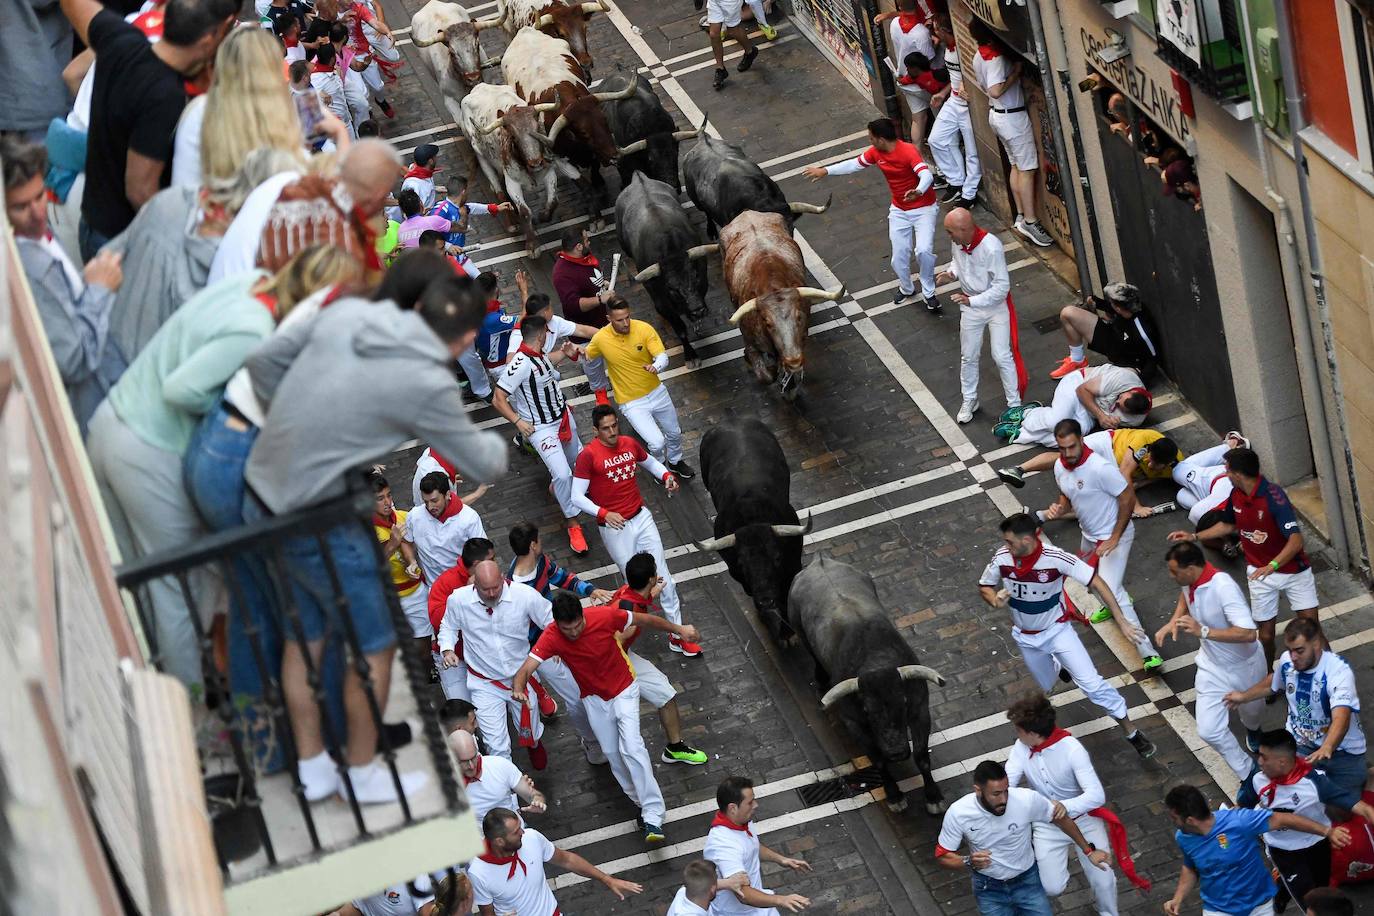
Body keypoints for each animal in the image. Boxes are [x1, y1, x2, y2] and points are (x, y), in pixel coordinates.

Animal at [692, 414, 807, 637]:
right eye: (742, 563)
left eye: (777, 557)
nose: (766, 600)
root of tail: (732, 419)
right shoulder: (739, 575)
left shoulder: (793, 564)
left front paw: (787, 632)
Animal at [719, 216, 846, 403]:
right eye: (767, 323)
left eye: (799, 317)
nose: (794, 361)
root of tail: (746, 213)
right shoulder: (751, 342)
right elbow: (765, 375)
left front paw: (789, 386)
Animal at [791, 554, 939, 813]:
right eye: (868, 711)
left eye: (903, 704)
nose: (896, 752)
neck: (875, 661)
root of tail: (819, 560)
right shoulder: (855, 724)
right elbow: (878, 762)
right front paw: (894, 796)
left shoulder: (920, 710)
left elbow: (921, 756)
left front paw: (933, 796)